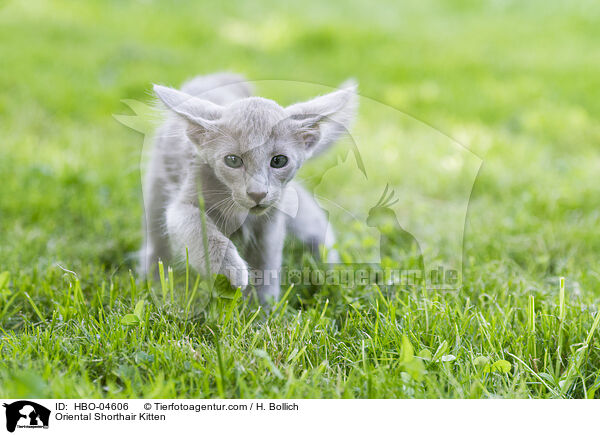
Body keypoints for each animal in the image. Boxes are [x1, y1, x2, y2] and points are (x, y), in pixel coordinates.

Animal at [141, 72, 356, 304]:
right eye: (233, 160)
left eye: (279, 161)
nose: (257, 193)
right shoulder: (184, 202)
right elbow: (198, 228)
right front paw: (228, 270)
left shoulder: (272, 220)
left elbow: (266, 261)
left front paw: (262, 305)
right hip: (157, 182)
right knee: (156, 235)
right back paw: (154, 277)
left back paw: (329, 268)